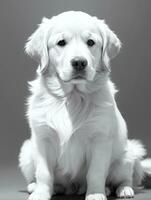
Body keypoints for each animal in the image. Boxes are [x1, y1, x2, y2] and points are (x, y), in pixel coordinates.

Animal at [18, 10, 151, 200]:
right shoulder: (43, 138)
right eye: (61, 42)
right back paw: (37, 186)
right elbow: (43, 172)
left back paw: (121, 189)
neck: (72, 97)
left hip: (126, 157)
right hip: (26, 152)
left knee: (127, 178)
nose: (79, 62)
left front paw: (95, 193)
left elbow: (96, 172)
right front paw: (41, 193)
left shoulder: (99, 139)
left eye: (91, 42)